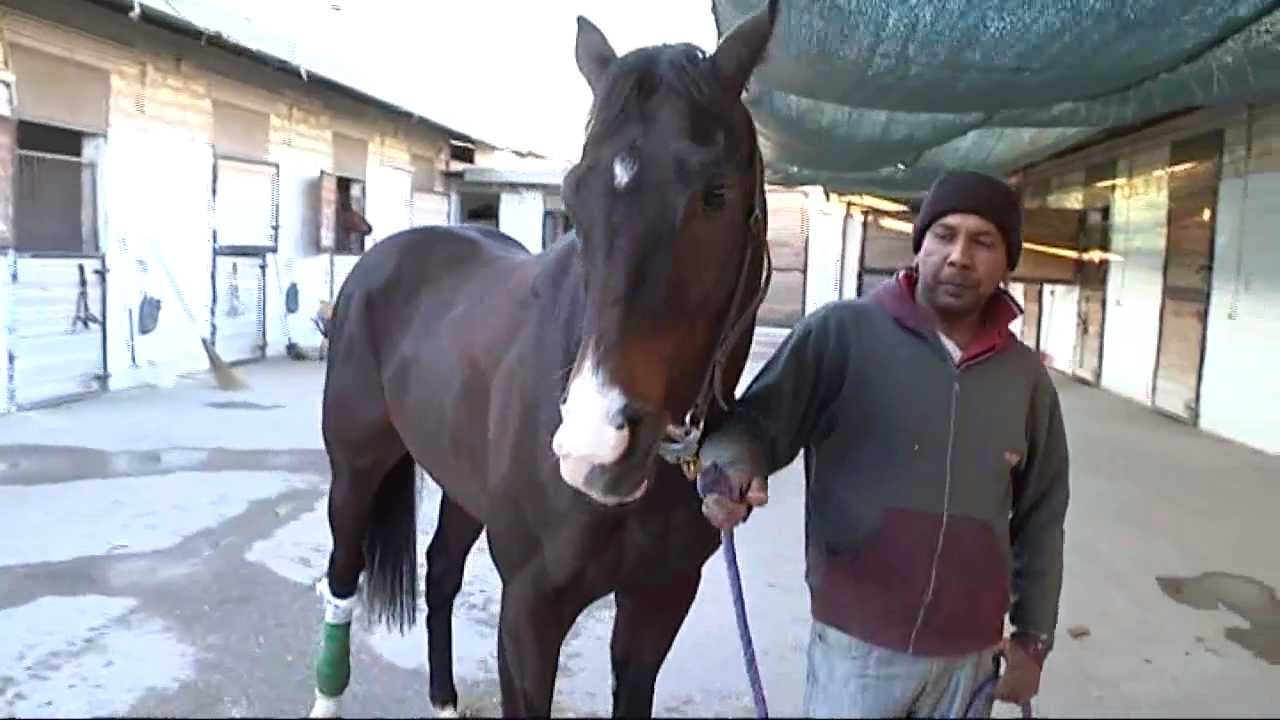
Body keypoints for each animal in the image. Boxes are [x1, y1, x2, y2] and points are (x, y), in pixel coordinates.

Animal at [308, 2, 779, 716]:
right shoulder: (530, 612)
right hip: (355, 472)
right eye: (574, 196)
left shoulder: (659, 604)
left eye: (716, 193)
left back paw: (444, 699)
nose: (595, 447)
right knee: (342, 578)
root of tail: (380, 258)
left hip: (462, 487)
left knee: (440, 573)